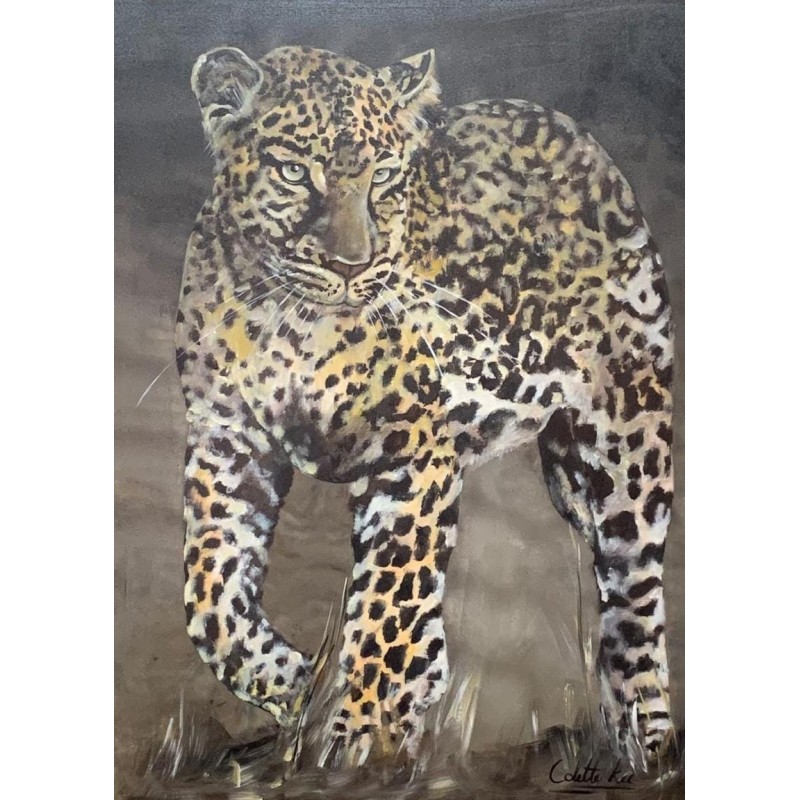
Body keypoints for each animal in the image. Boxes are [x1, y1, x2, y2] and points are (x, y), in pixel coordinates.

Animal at [176, 43, 676, 770]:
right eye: (294, 171)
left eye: (383, 177)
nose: (352, 266)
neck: (289, 324)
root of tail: (573, 133)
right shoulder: (227, 445)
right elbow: (210, 599)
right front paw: (299, 685)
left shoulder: (411, 453)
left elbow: (388, 601)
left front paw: (359, 738)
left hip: (629, 440)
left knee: (633, 596)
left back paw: (645, 741)